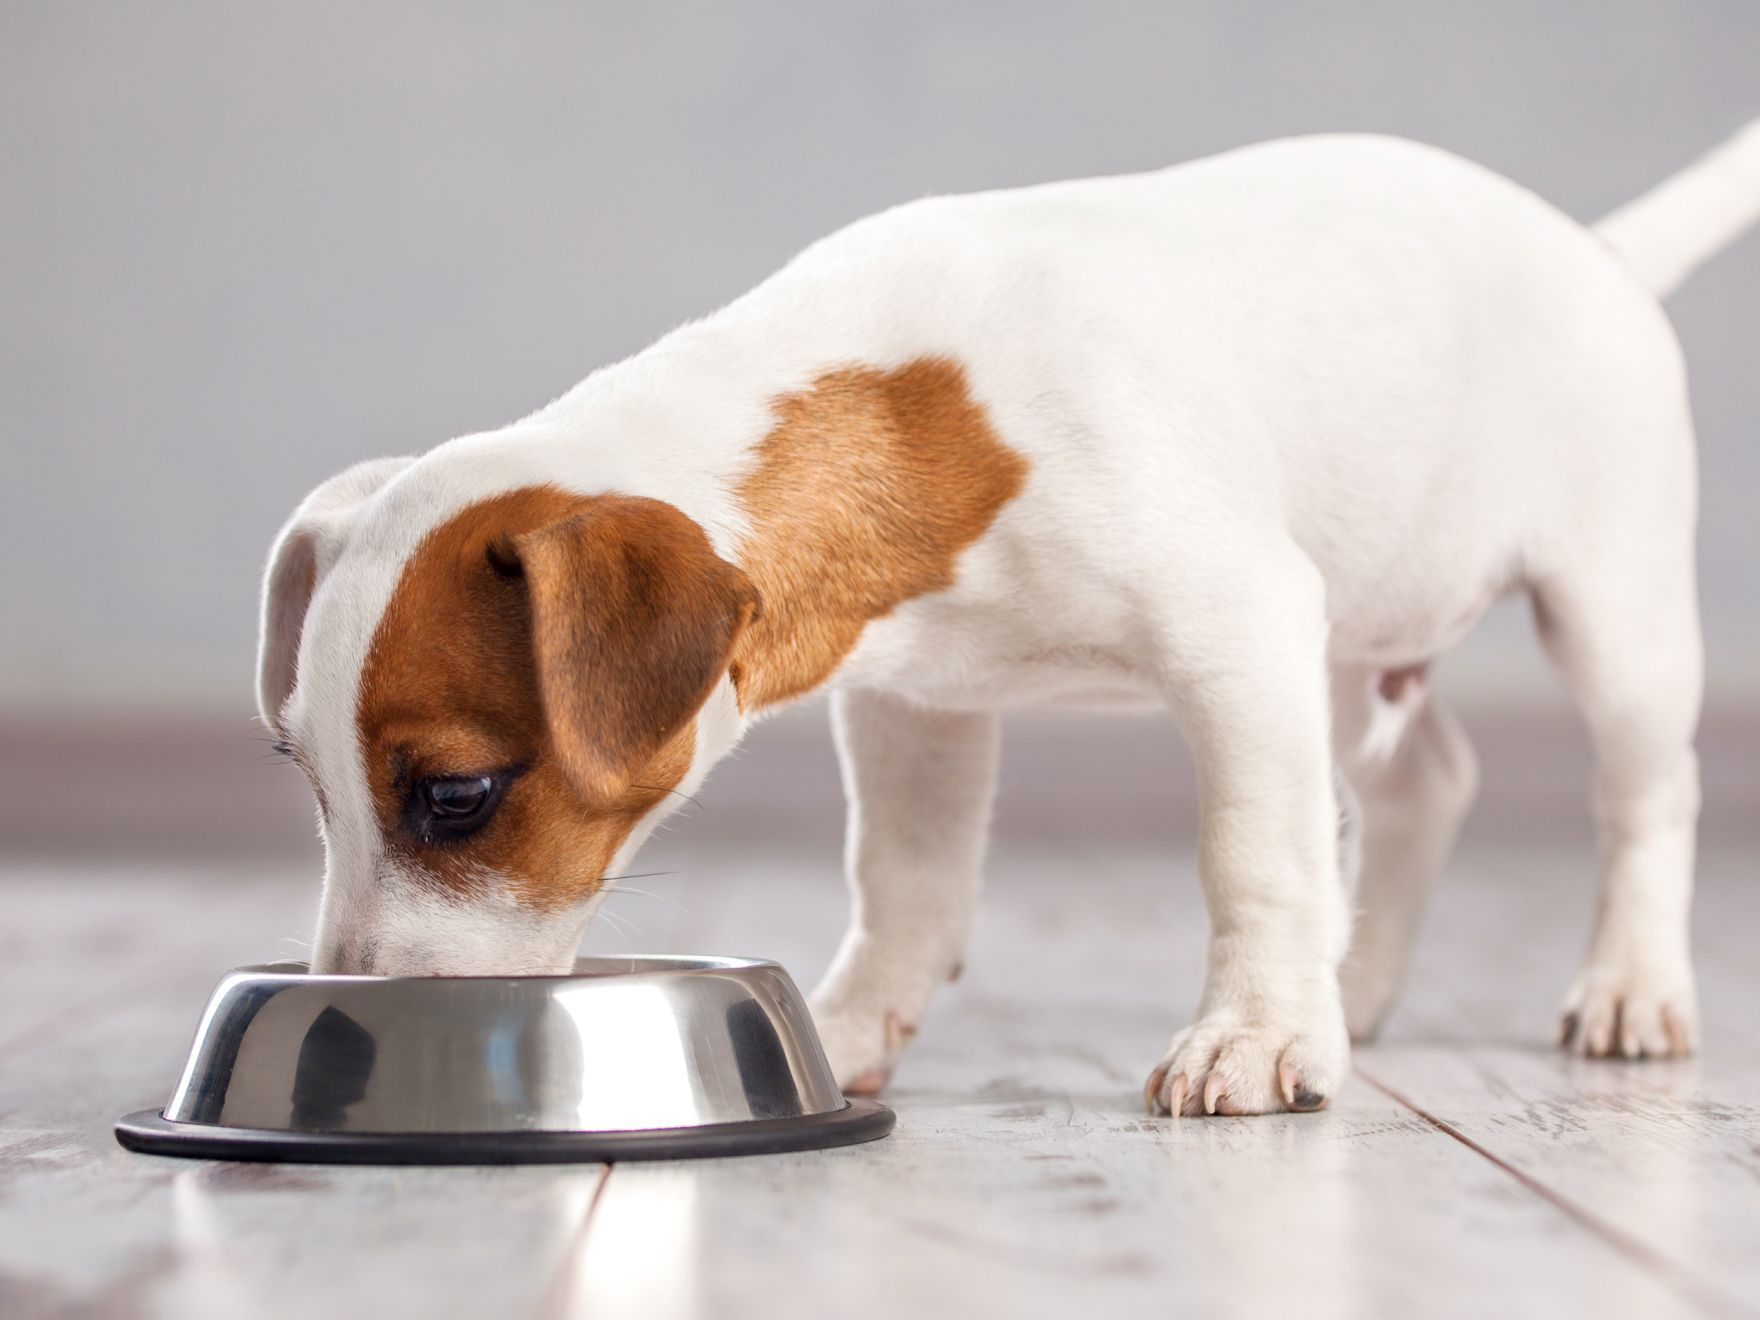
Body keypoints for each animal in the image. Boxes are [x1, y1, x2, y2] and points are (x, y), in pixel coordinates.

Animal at [260, 121, 1760, 1119]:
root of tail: (1601, 254)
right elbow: (907, 881)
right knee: (1420, 783)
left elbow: (1253, 859)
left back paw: (1628, 986)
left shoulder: (1237, 634)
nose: (352, 1012)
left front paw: (1255, 1036)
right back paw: (1366, 977)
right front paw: (853, 1022)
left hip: (1608, 619)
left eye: (458, 796)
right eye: (311, 789)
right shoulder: (916, 704)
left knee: (1645, 796)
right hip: (1350, 650)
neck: (928, 414)